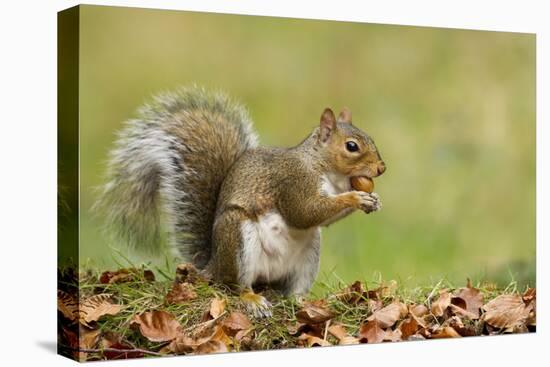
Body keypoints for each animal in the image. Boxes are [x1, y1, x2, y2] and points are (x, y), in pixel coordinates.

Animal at [97, 87, 386, 318]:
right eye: (351, 146)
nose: (382, 168)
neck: (323, 168)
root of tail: (213, 265)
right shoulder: (293, 182)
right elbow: (305, 212)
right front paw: (356, 198)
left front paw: (373, 200)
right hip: (238, 237)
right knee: (235, 286)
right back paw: (253, 300)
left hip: (308, 254)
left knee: (291, 290)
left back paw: (302, 301)